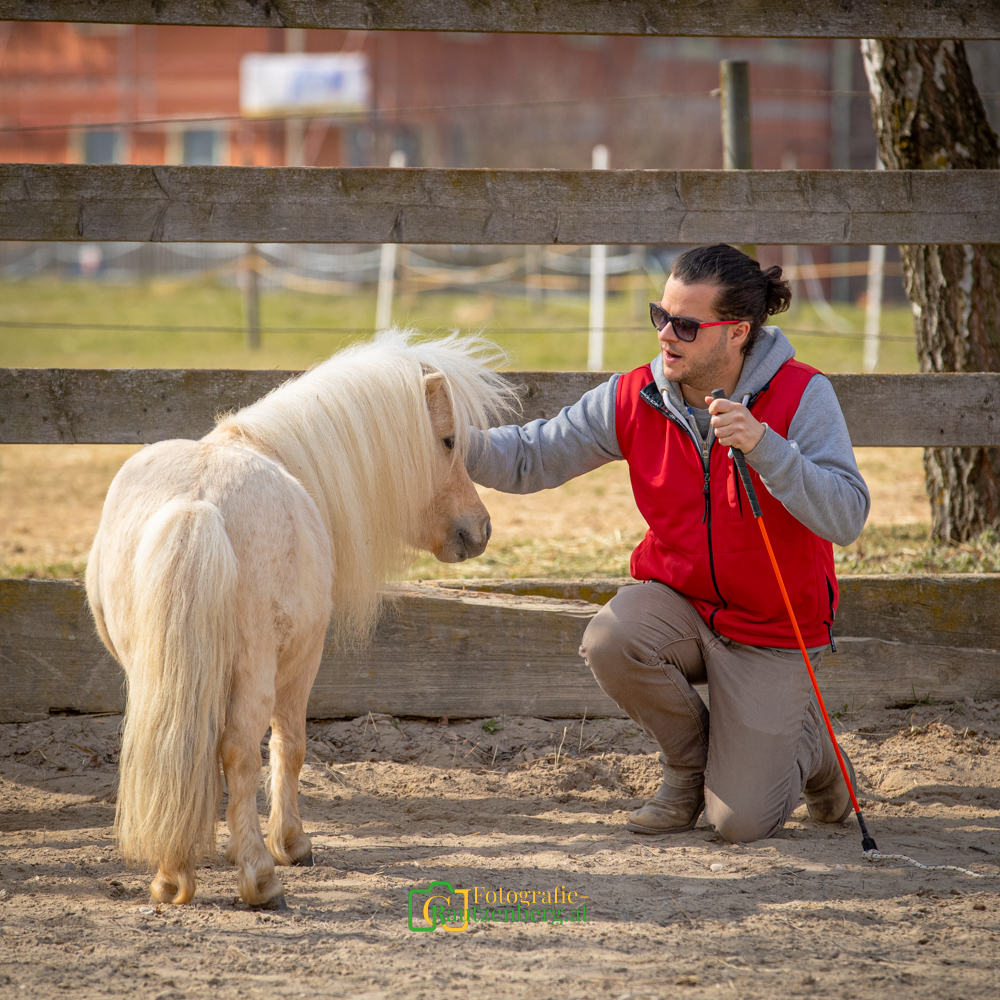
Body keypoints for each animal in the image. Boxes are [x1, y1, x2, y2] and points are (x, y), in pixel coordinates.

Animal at [85, 330, 514, 909]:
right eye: (447, 441)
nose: (480, 529)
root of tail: (197, 506)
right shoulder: (302, 662)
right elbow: (289, 747)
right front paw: (289, 844)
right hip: (256, 670)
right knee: (240, 752)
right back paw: (260, 879)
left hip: (154, 670)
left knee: (173, 749)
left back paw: (172, 875)